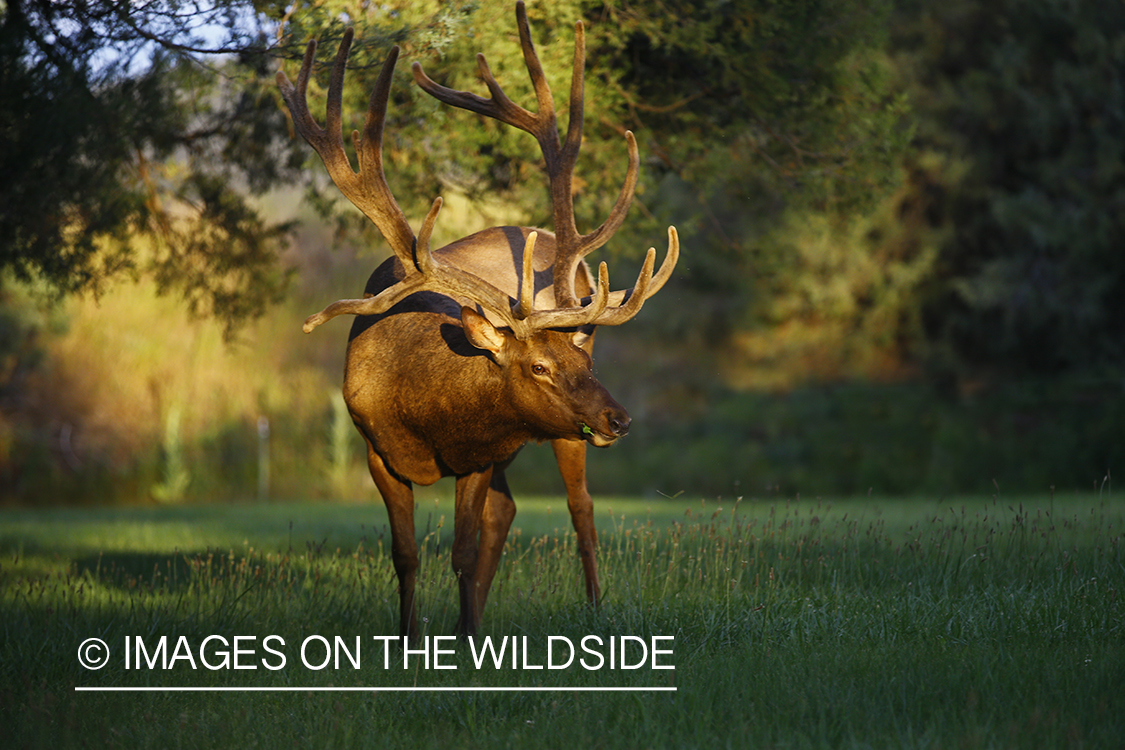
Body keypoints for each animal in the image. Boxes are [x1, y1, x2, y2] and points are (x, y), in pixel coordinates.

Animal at [279, 1, 684, 638]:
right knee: (510, 510)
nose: (619, 419)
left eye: (582, 356)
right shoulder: (376, 449)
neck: (420, 409)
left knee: (579, 508)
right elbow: (406, 553)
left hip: (561, 437)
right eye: (539, 366)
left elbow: (463, 551)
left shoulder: (476, 452)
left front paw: (463, 636)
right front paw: (411, 637)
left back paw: (592, 609)